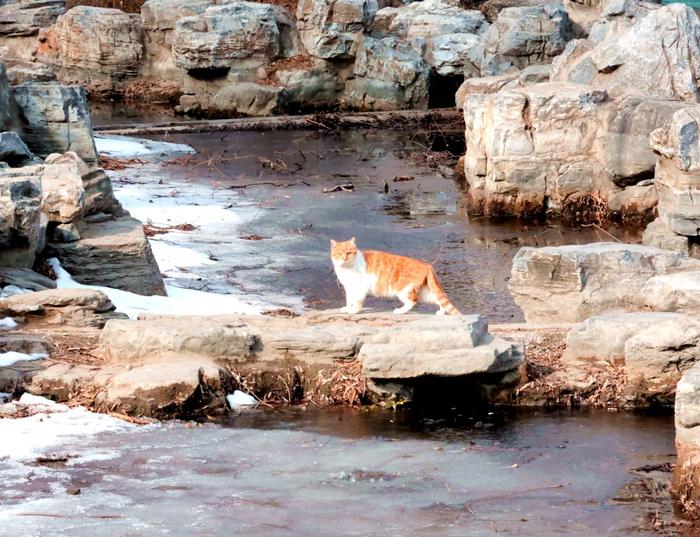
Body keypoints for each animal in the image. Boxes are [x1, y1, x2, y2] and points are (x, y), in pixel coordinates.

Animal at [332, 234, 462, 314]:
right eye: (339, 253)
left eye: (349, 252)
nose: (344, 258)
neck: (347, 268)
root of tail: (427, 265)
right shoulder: (349, 288)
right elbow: (349, 300)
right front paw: (347, 308)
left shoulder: (360, 288)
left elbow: (357, 302)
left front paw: (353, 311)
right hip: (425, 293)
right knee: (439, 300)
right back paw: (441, 312)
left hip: (403, 290)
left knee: (413, 301)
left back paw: (400, 311)